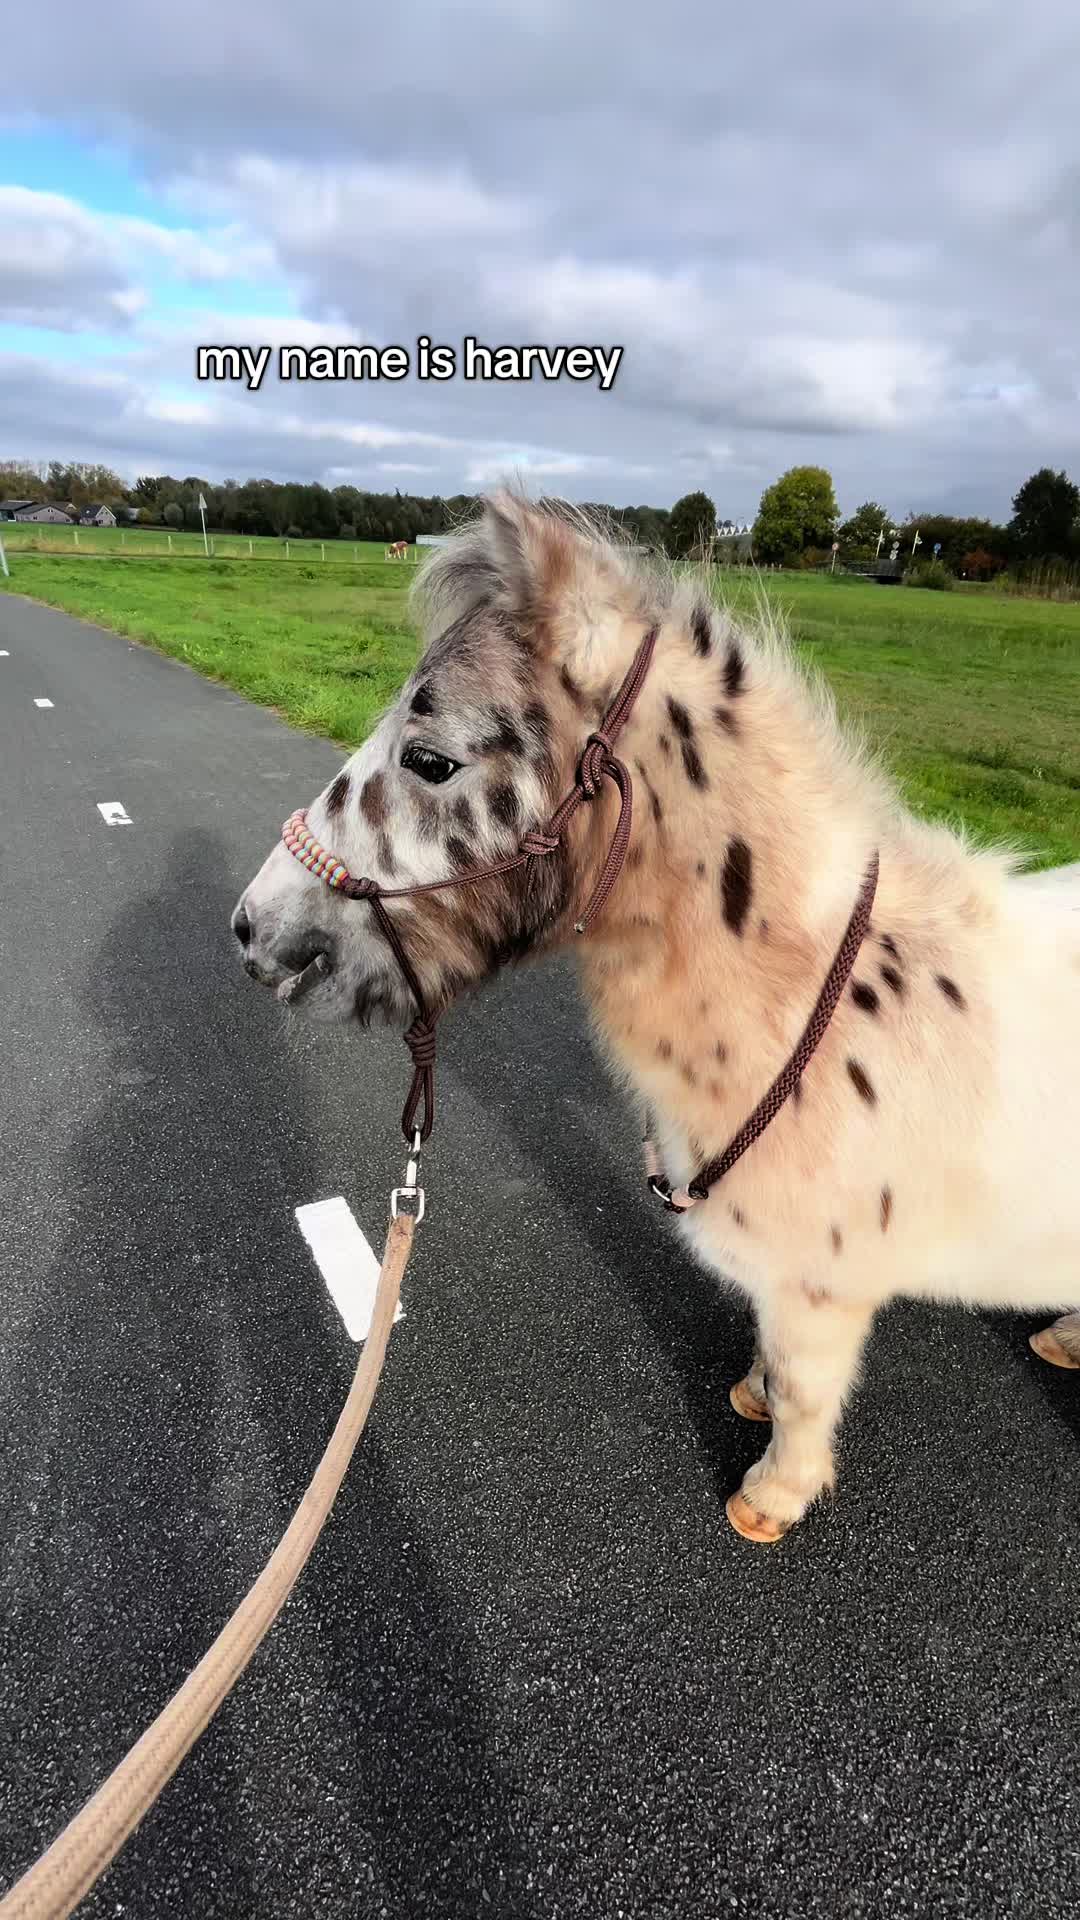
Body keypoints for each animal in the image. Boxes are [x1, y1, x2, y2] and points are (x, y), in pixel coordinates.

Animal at [233, 489, 1080, 1544]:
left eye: (429, 759)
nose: (253, 930)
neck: (814, 1010)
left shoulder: (823, 1296)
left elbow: (804, 1389)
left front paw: (770, 1498)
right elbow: (771, 1366)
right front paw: (750, 1397)